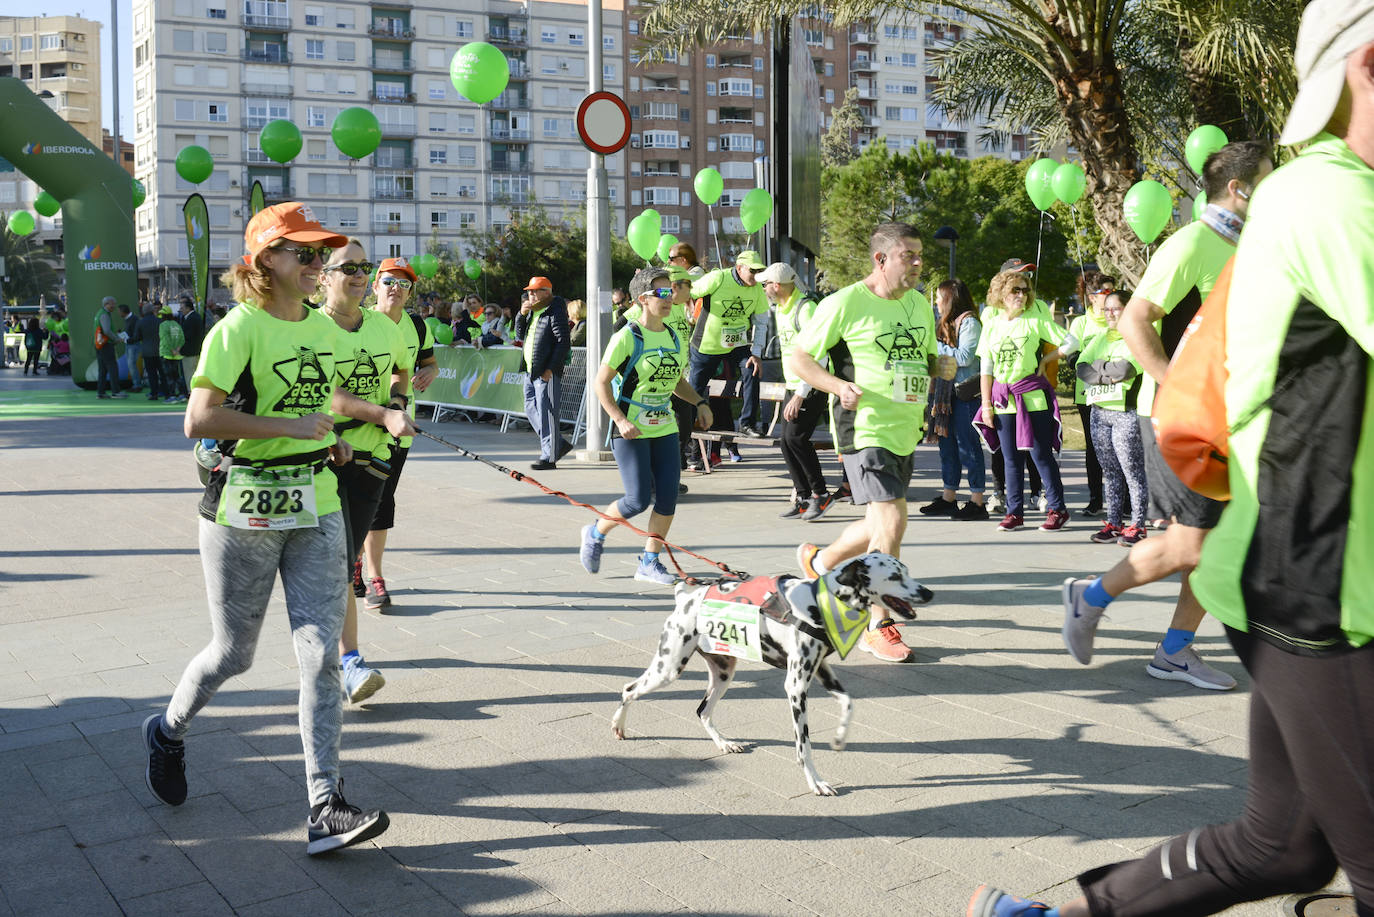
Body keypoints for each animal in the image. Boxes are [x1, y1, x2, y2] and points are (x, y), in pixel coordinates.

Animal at [612, 552, 934, 797]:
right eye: (894, 576)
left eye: (906, 571)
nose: (928, 592)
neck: (823, 601)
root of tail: (685, 597)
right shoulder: (796, 687)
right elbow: (803, 746)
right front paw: (815, 782)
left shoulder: (822, 671)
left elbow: (849, 703)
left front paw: (840, 738)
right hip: (669, 668)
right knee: (629, 689)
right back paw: (618, 727)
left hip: (723, 674)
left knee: (703, 710)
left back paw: (724, 743)